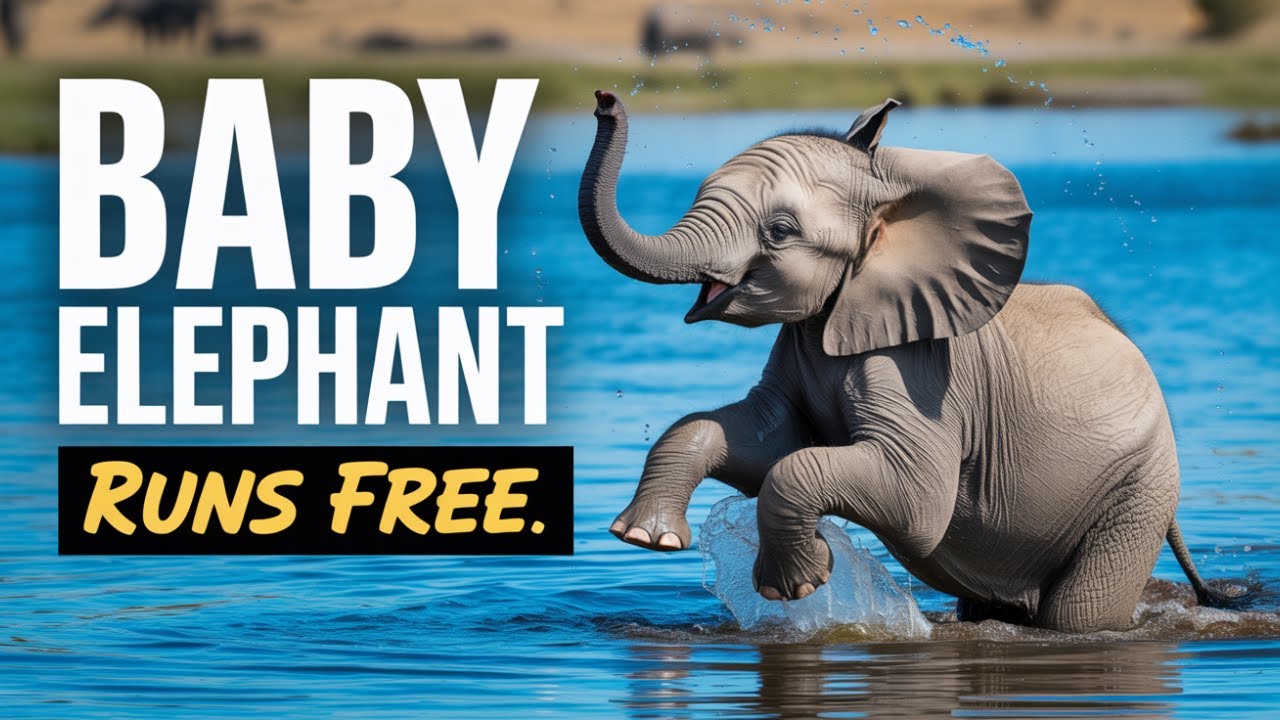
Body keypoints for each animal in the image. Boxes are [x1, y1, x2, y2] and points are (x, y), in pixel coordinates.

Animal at [577, 90, 1249, 632]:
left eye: (781, 230)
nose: (604, 100)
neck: (888, 198)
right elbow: (760, 439)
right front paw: (645, 537)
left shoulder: (919, 371)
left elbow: (908, 500)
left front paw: (797, 584)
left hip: (1137, 490)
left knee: (1077, 615)